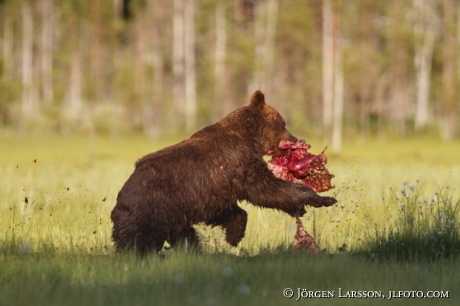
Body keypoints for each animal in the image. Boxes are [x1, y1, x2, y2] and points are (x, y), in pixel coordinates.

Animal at [109, 90, 336, 253]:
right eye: (283, 123)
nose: (296, 139)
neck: (249, 138)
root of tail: (121, 196)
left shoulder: (215, 190)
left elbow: (232, 210)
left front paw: (234, 235)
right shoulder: (237, 163)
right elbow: (266, 189)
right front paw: (321, 199)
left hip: (173, 215)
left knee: (184, 236)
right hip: (149, 209)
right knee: (136, 241)